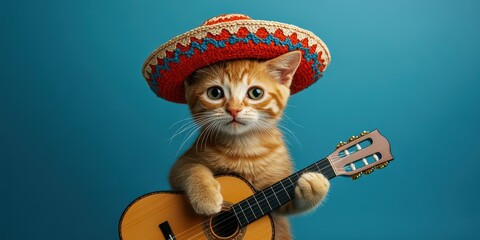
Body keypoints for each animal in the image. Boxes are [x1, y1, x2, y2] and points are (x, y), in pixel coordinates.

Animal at [169, 49, 330, 239]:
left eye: (256, 93)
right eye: (214, 93)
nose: (234, 109)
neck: (243, 147)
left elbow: (287, 206)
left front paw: (315, 186)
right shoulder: (182, 163)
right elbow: (190, 168)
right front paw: (205, 196)